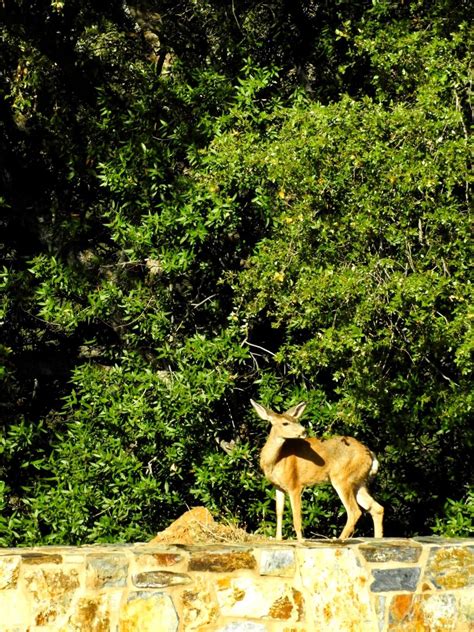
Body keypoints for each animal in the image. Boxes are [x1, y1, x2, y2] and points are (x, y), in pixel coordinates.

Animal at [250, 400, 384, 540]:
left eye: (296, 420)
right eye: (285, 423)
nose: (304, 431)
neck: (275, 461)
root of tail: (370, 454)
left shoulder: (295, 484)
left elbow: (296, 517)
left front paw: (301, 541)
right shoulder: (278, 486)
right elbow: (279, 512)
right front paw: (278, 539)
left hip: (342, 478)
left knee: (354, 511)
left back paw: (339, 539)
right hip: (358, 481)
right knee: (376, 508)